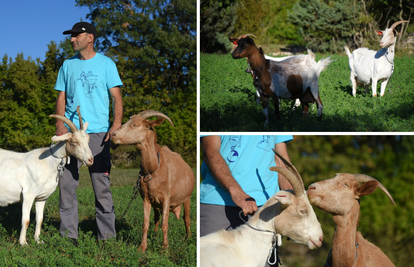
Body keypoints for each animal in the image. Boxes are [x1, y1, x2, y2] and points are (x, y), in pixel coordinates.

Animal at [0, 107, 92, 247]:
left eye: (88, 140)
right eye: (74, 142)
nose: (91, 160)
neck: (48, 163)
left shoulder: (42, 197)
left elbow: (40, 219)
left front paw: (38, 240)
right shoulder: (28, 194)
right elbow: (26, 220)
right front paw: (23, 243)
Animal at [111, 111, 196, 253]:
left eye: (135, 125)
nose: (113, 134)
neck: (153, 169)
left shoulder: (166, 198)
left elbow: (165, 224)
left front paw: (165, 248)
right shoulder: (146, 198)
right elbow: (146, 223)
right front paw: (142, 247)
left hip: (187, 198)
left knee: (186, 218)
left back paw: (188, 238)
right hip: (156, 203)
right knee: (156, 218)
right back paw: (155, 235)